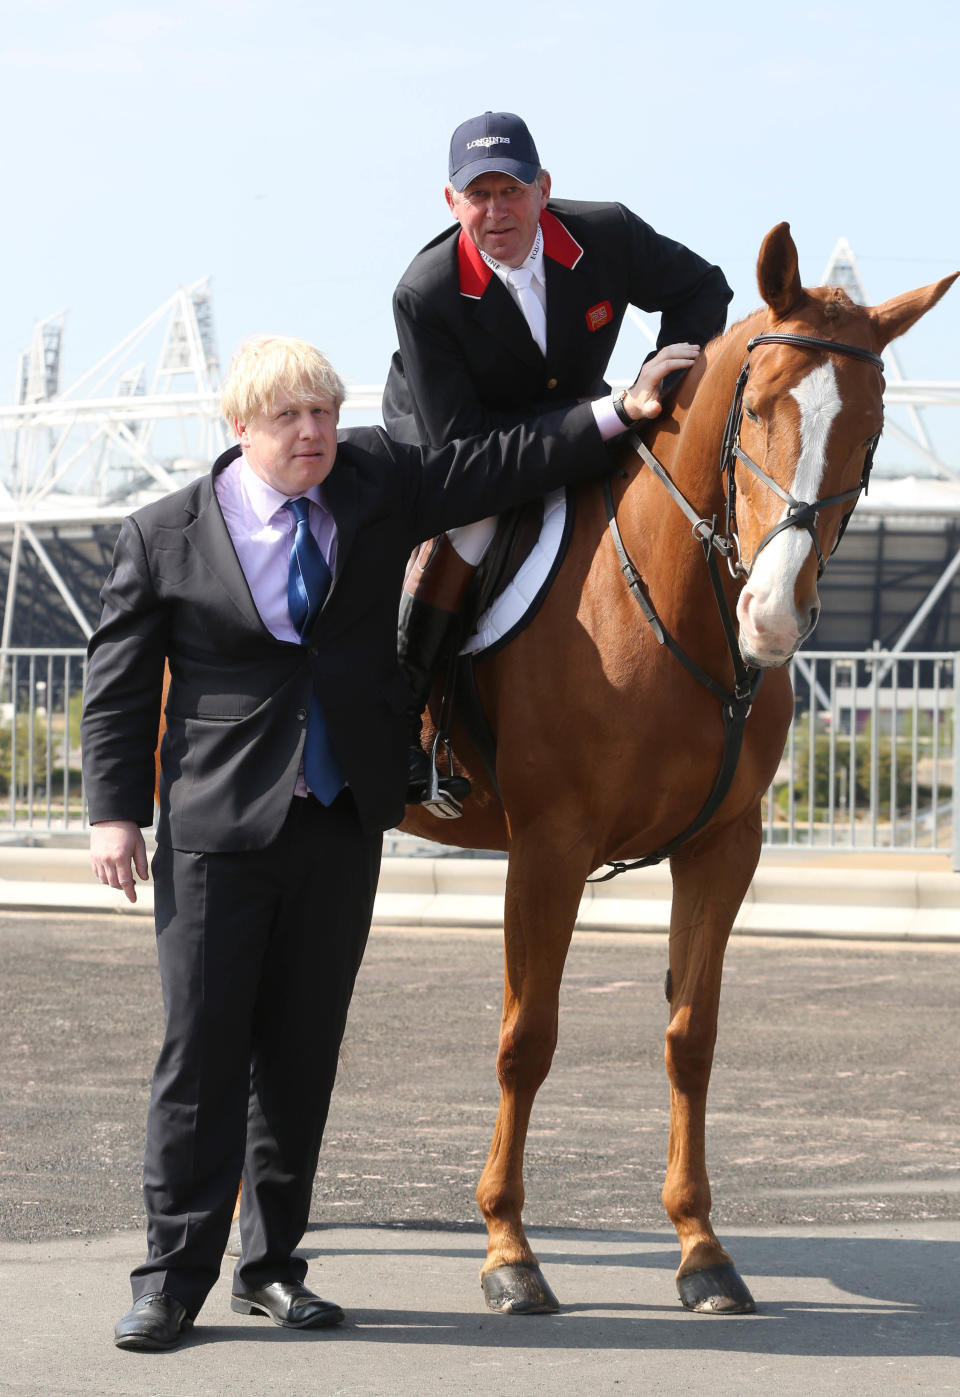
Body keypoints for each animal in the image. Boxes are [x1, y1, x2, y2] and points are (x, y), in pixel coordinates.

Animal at [399, 223, 955, 1313]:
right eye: (762, 402)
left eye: (870, 430)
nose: (773, 614)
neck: (673, 601)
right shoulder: (549, 848)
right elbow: (528, 1037)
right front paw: (508, 1249)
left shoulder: (723, 847)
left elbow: (691, 1036)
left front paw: (703, 1248)